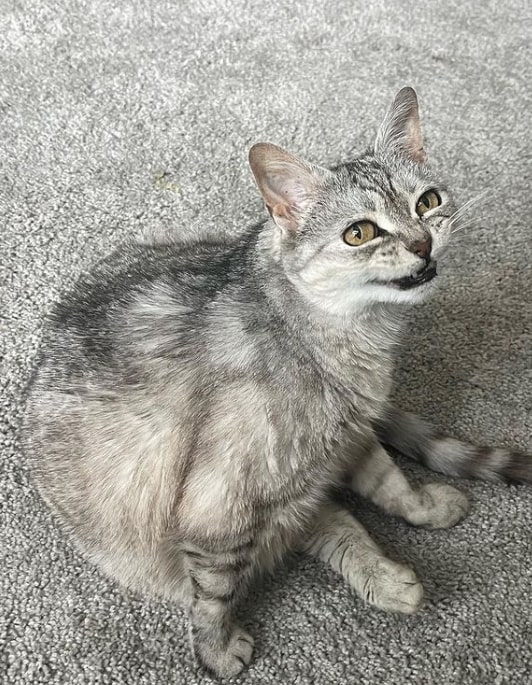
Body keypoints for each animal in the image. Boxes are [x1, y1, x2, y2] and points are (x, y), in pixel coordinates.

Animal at [22, 87, 528, 680]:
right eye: (359, 233)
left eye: (426, 202)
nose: (423, 243)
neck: (353, 345)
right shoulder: (219, 509)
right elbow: (213, 596)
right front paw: (217, 652)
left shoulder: (351, 437)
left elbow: (392, 484)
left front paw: (424, 506)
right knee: (309, 528)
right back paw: (379, 577)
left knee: (324, 520)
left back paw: (386, 577)